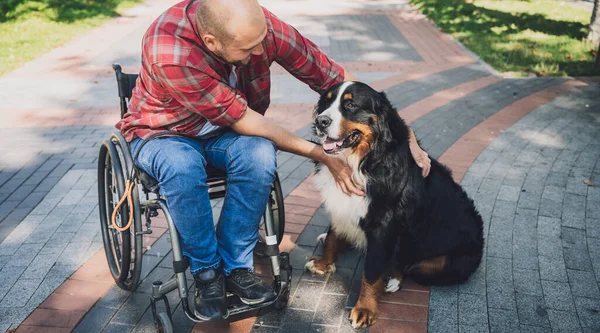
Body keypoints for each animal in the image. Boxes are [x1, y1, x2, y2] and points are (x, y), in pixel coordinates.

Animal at [308, 81, 486, 326]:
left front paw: (365, 308)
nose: (320, 121)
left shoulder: (383, 225)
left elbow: (372, 271)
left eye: (350, 105)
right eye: (326, 103)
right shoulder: (343, 205)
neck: (362, 161)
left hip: (441, 264)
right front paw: (324, 263)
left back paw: (393, 277)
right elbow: (333, 237)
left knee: (409, 264)